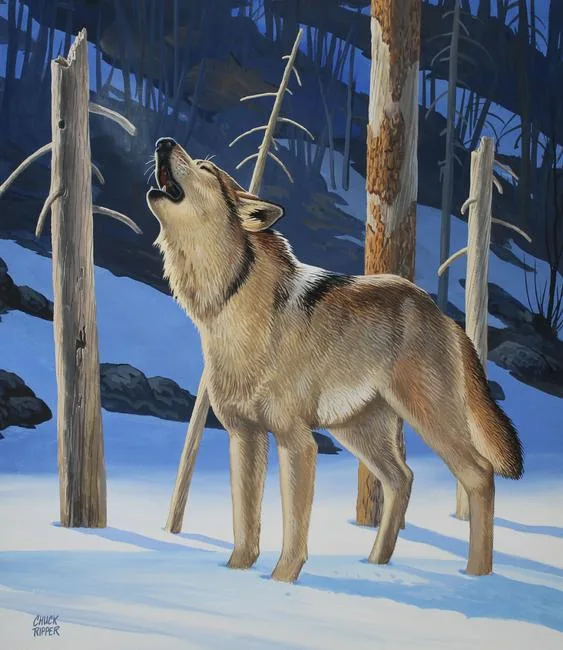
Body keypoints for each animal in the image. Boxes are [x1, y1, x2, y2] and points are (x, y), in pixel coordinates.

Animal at [146, 137, 523, 583]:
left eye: (204, 167)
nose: (163, 142)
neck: (228, 304)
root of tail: (442, 315)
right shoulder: (244, 435)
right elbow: (245, 521)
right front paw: (237, 572)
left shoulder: (296, 440)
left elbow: (294, 526)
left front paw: (282, 581)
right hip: (356, 431)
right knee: (402, 479)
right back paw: (376, 563)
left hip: (429, 420)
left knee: (480, 475)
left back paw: (476, 575)